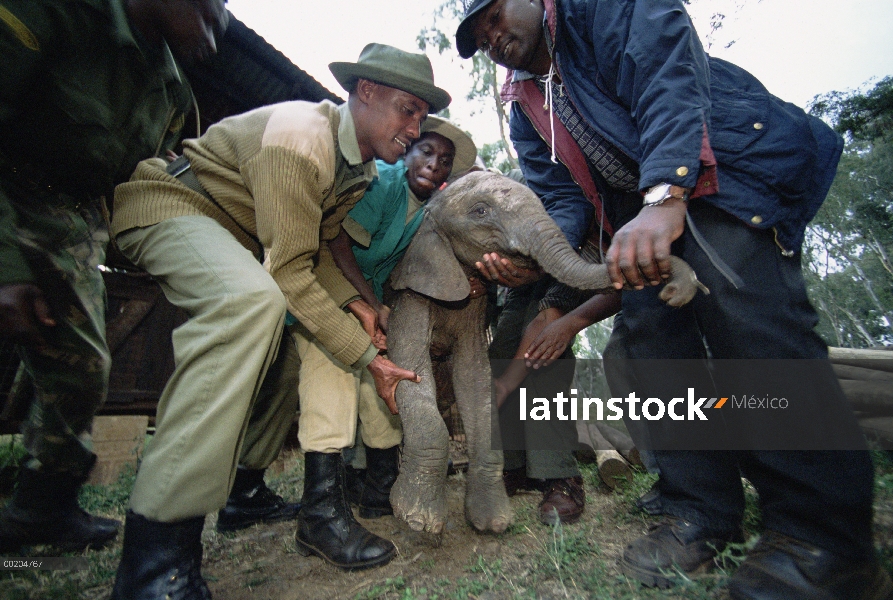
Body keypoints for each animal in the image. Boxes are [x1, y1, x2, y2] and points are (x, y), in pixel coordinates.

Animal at [386, 172, 700, 536]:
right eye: (480, 211)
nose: (674, 290)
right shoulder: (410, 294)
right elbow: (411, 370)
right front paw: (417, 520)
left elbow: (475, 380)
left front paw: (493, 522)